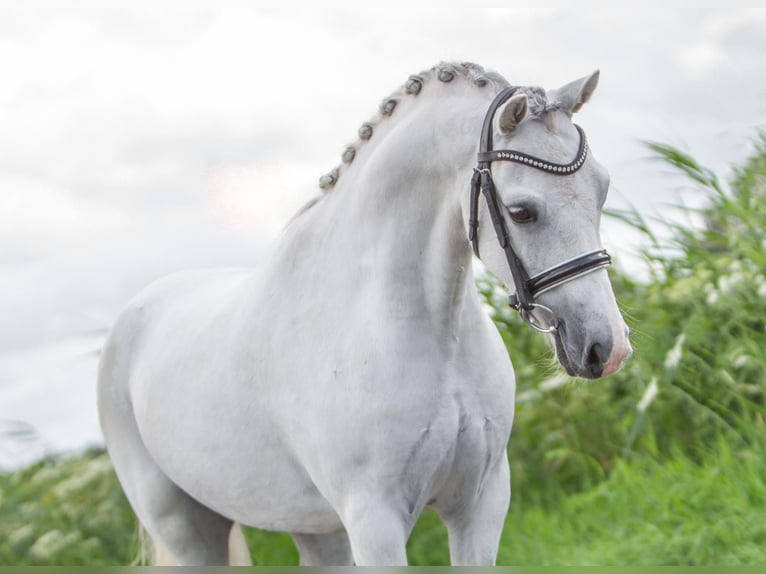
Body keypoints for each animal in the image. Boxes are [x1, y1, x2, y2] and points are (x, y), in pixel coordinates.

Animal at [99, 63, 632, 568]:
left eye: (602, 189)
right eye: (522, 211)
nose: (606, 347)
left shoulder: (480, 504)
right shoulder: (375, 521)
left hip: (312, 527)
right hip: (187, 528)